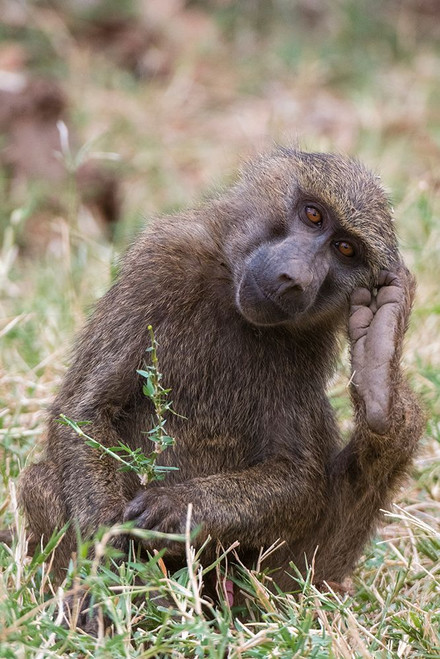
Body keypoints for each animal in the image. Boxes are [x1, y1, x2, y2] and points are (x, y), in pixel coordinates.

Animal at [18, 148, 424, 611]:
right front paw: (107, 567)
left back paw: (381, 387)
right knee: (41, 482)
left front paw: (177, 508)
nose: (294, 279)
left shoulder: (306, 348)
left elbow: (298, 477)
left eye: (346, 249)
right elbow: (86, 412)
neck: (230, 289)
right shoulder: (158, 262)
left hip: (263, 588)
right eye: (313, 215)